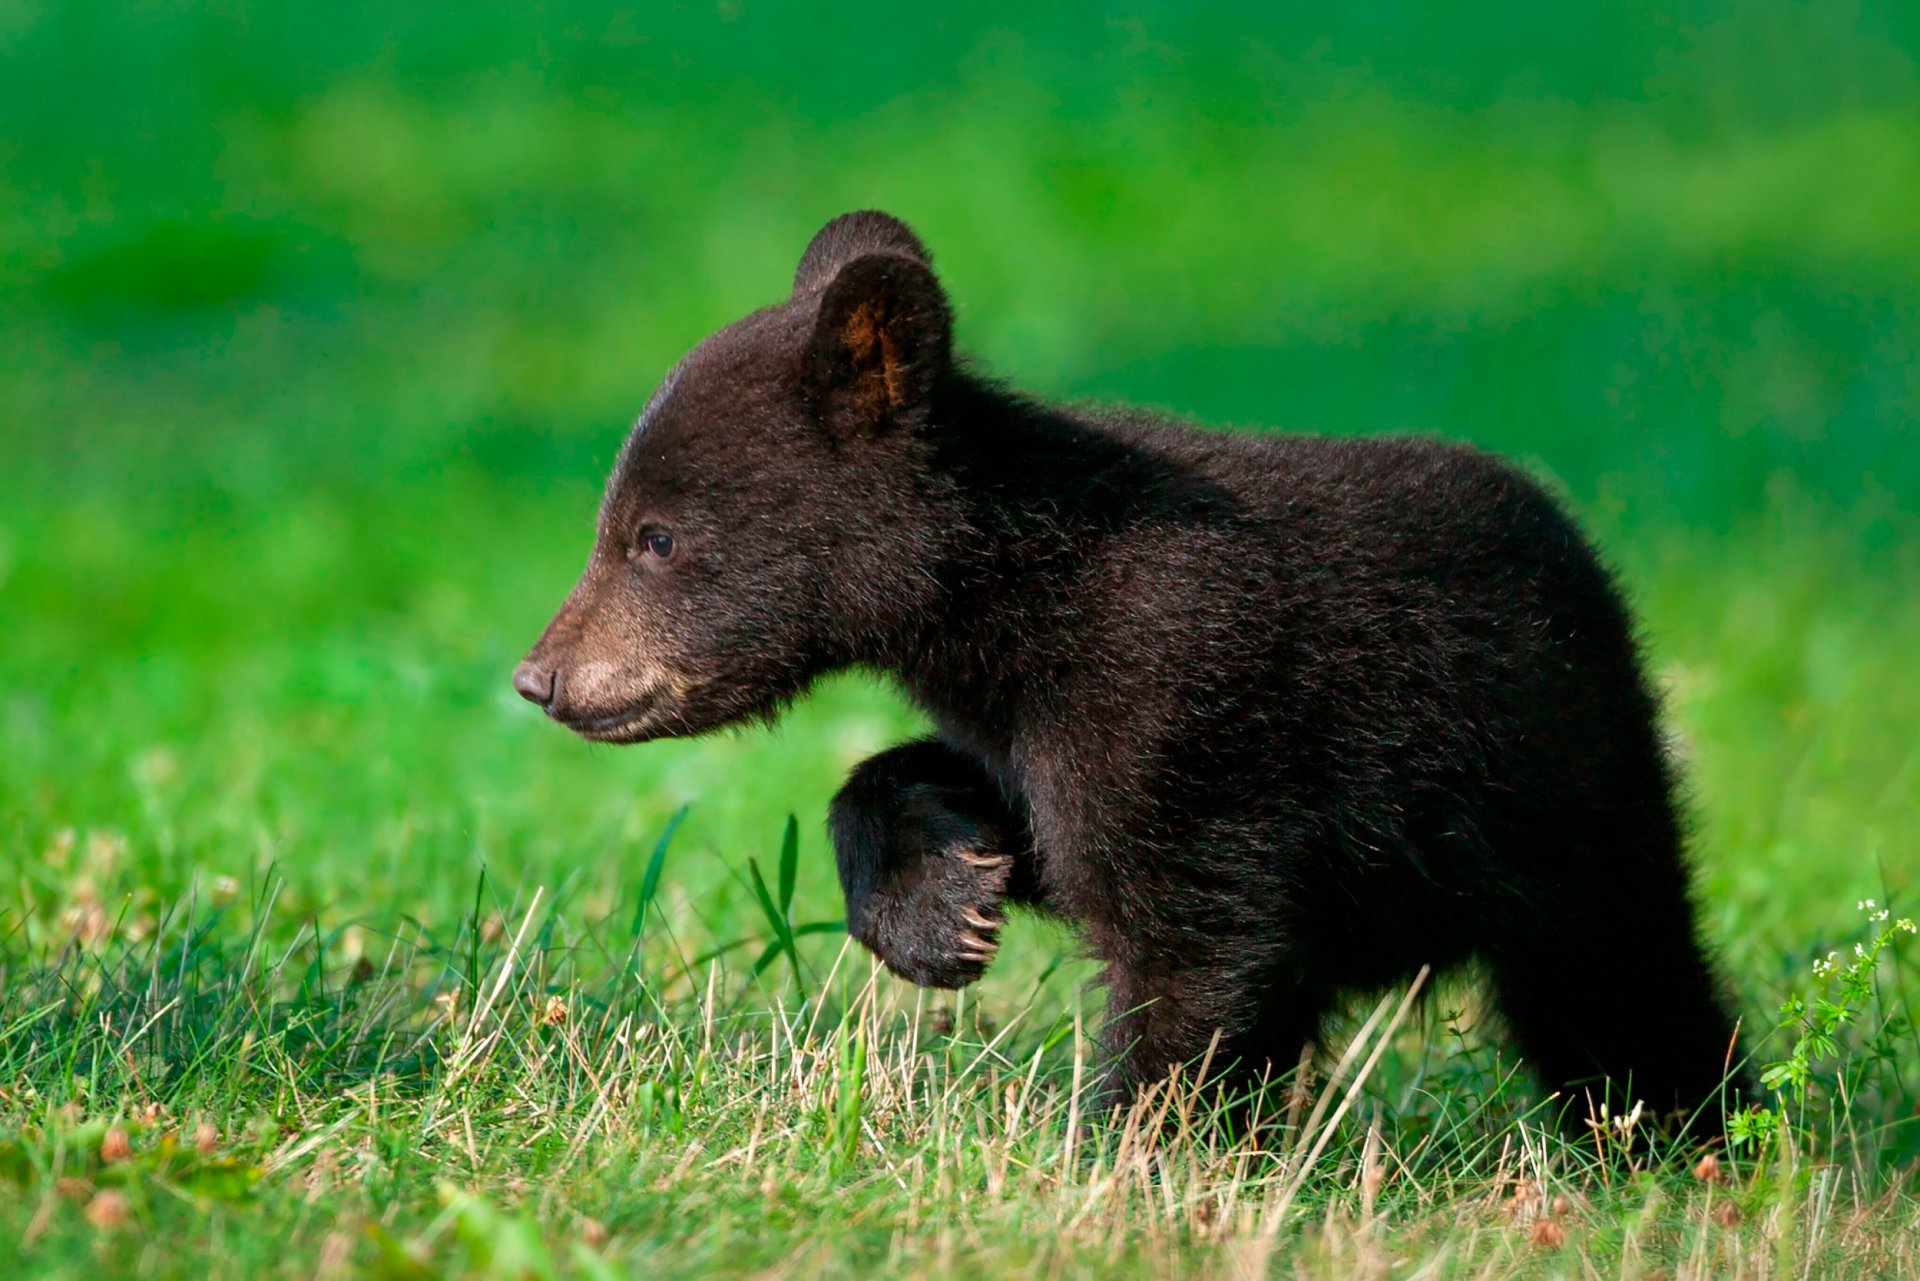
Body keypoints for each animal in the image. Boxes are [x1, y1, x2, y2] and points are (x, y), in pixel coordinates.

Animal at [513, 209, 1744, 1135]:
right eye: (622, 523)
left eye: (653, 536)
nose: (542, 676)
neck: (1020, 596)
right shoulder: (1036, 715)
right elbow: (1024, 826)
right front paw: (938, 902)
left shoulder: (1179, 698)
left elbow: (1191, 942)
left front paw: (1128, 1154)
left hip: (1565, 794)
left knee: (1622, 983)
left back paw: (1690, 1138)